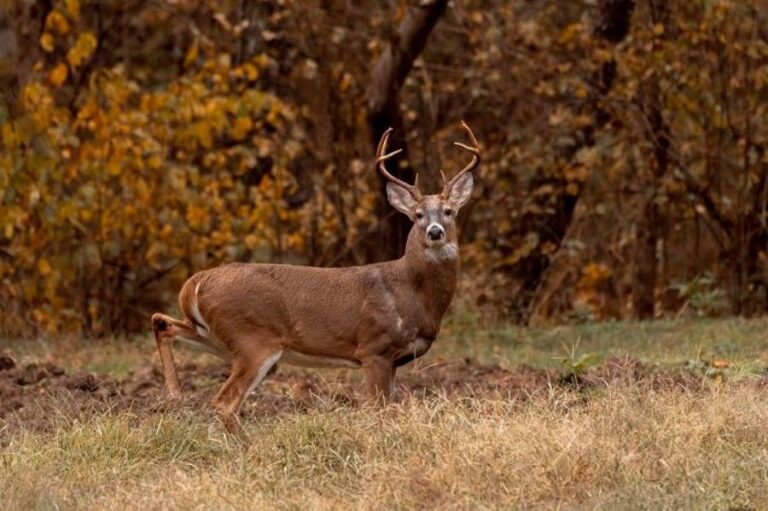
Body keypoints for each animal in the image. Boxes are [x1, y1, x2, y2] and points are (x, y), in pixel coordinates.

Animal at [151, 121, 481, 433]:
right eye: (417, 215)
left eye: (449, 211)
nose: (435, 232)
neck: (411, 292)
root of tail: (195, 284)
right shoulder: (373, 348)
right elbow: (376, 409)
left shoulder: (394, 359)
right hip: (252, 339)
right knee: (223, 402)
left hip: (215, 336)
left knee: (162, 322)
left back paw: (174, 394)